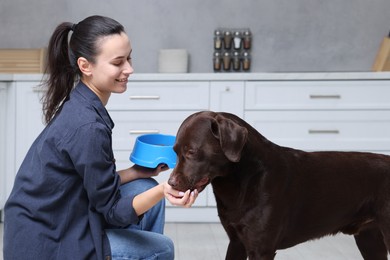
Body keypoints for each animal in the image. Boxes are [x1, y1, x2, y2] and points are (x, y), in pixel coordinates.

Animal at [168, 111, 390, 260]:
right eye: (176, 151)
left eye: (191, 152)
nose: (170, 183)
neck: (243, 180)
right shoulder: (236, 242)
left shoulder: (261, 249)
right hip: (369, 239)